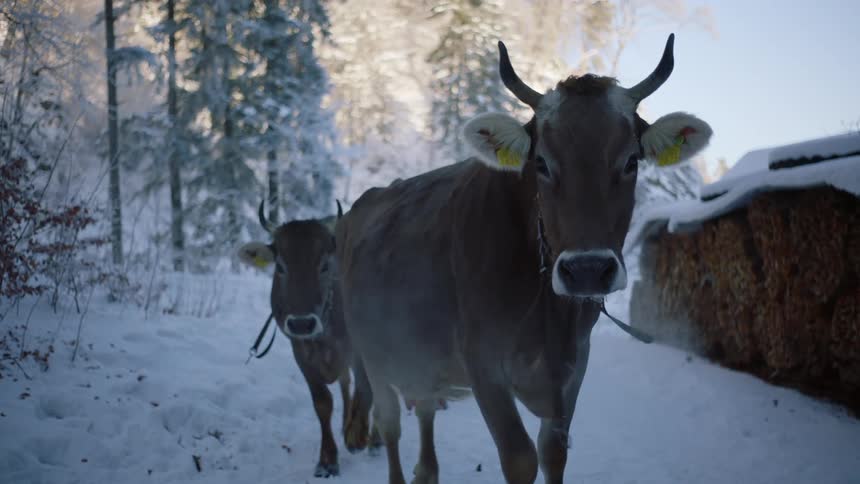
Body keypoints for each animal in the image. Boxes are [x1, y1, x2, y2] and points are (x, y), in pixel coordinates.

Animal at [237, 201, 381, 478]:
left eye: (324, 265)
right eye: (280, 266)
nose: (302, 323)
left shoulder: (359, 347)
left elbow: (367, 388)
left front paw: (357, 435)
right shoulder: (301, 352)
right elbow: (322, 402)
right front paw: (327, 460)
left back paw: (373, 439)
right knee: (345, 384)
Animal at [334, 34, 712, 484]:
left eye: (631, 161)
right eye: (541, 163)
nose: (587, 270)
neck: (549, 315)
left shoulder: (573, 366)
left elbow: (553, 453)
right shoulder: (483, 364)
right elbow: (520, 458)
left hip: (420, 358)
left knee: (424, 414)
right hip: (372, 352)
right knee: (389, 424)